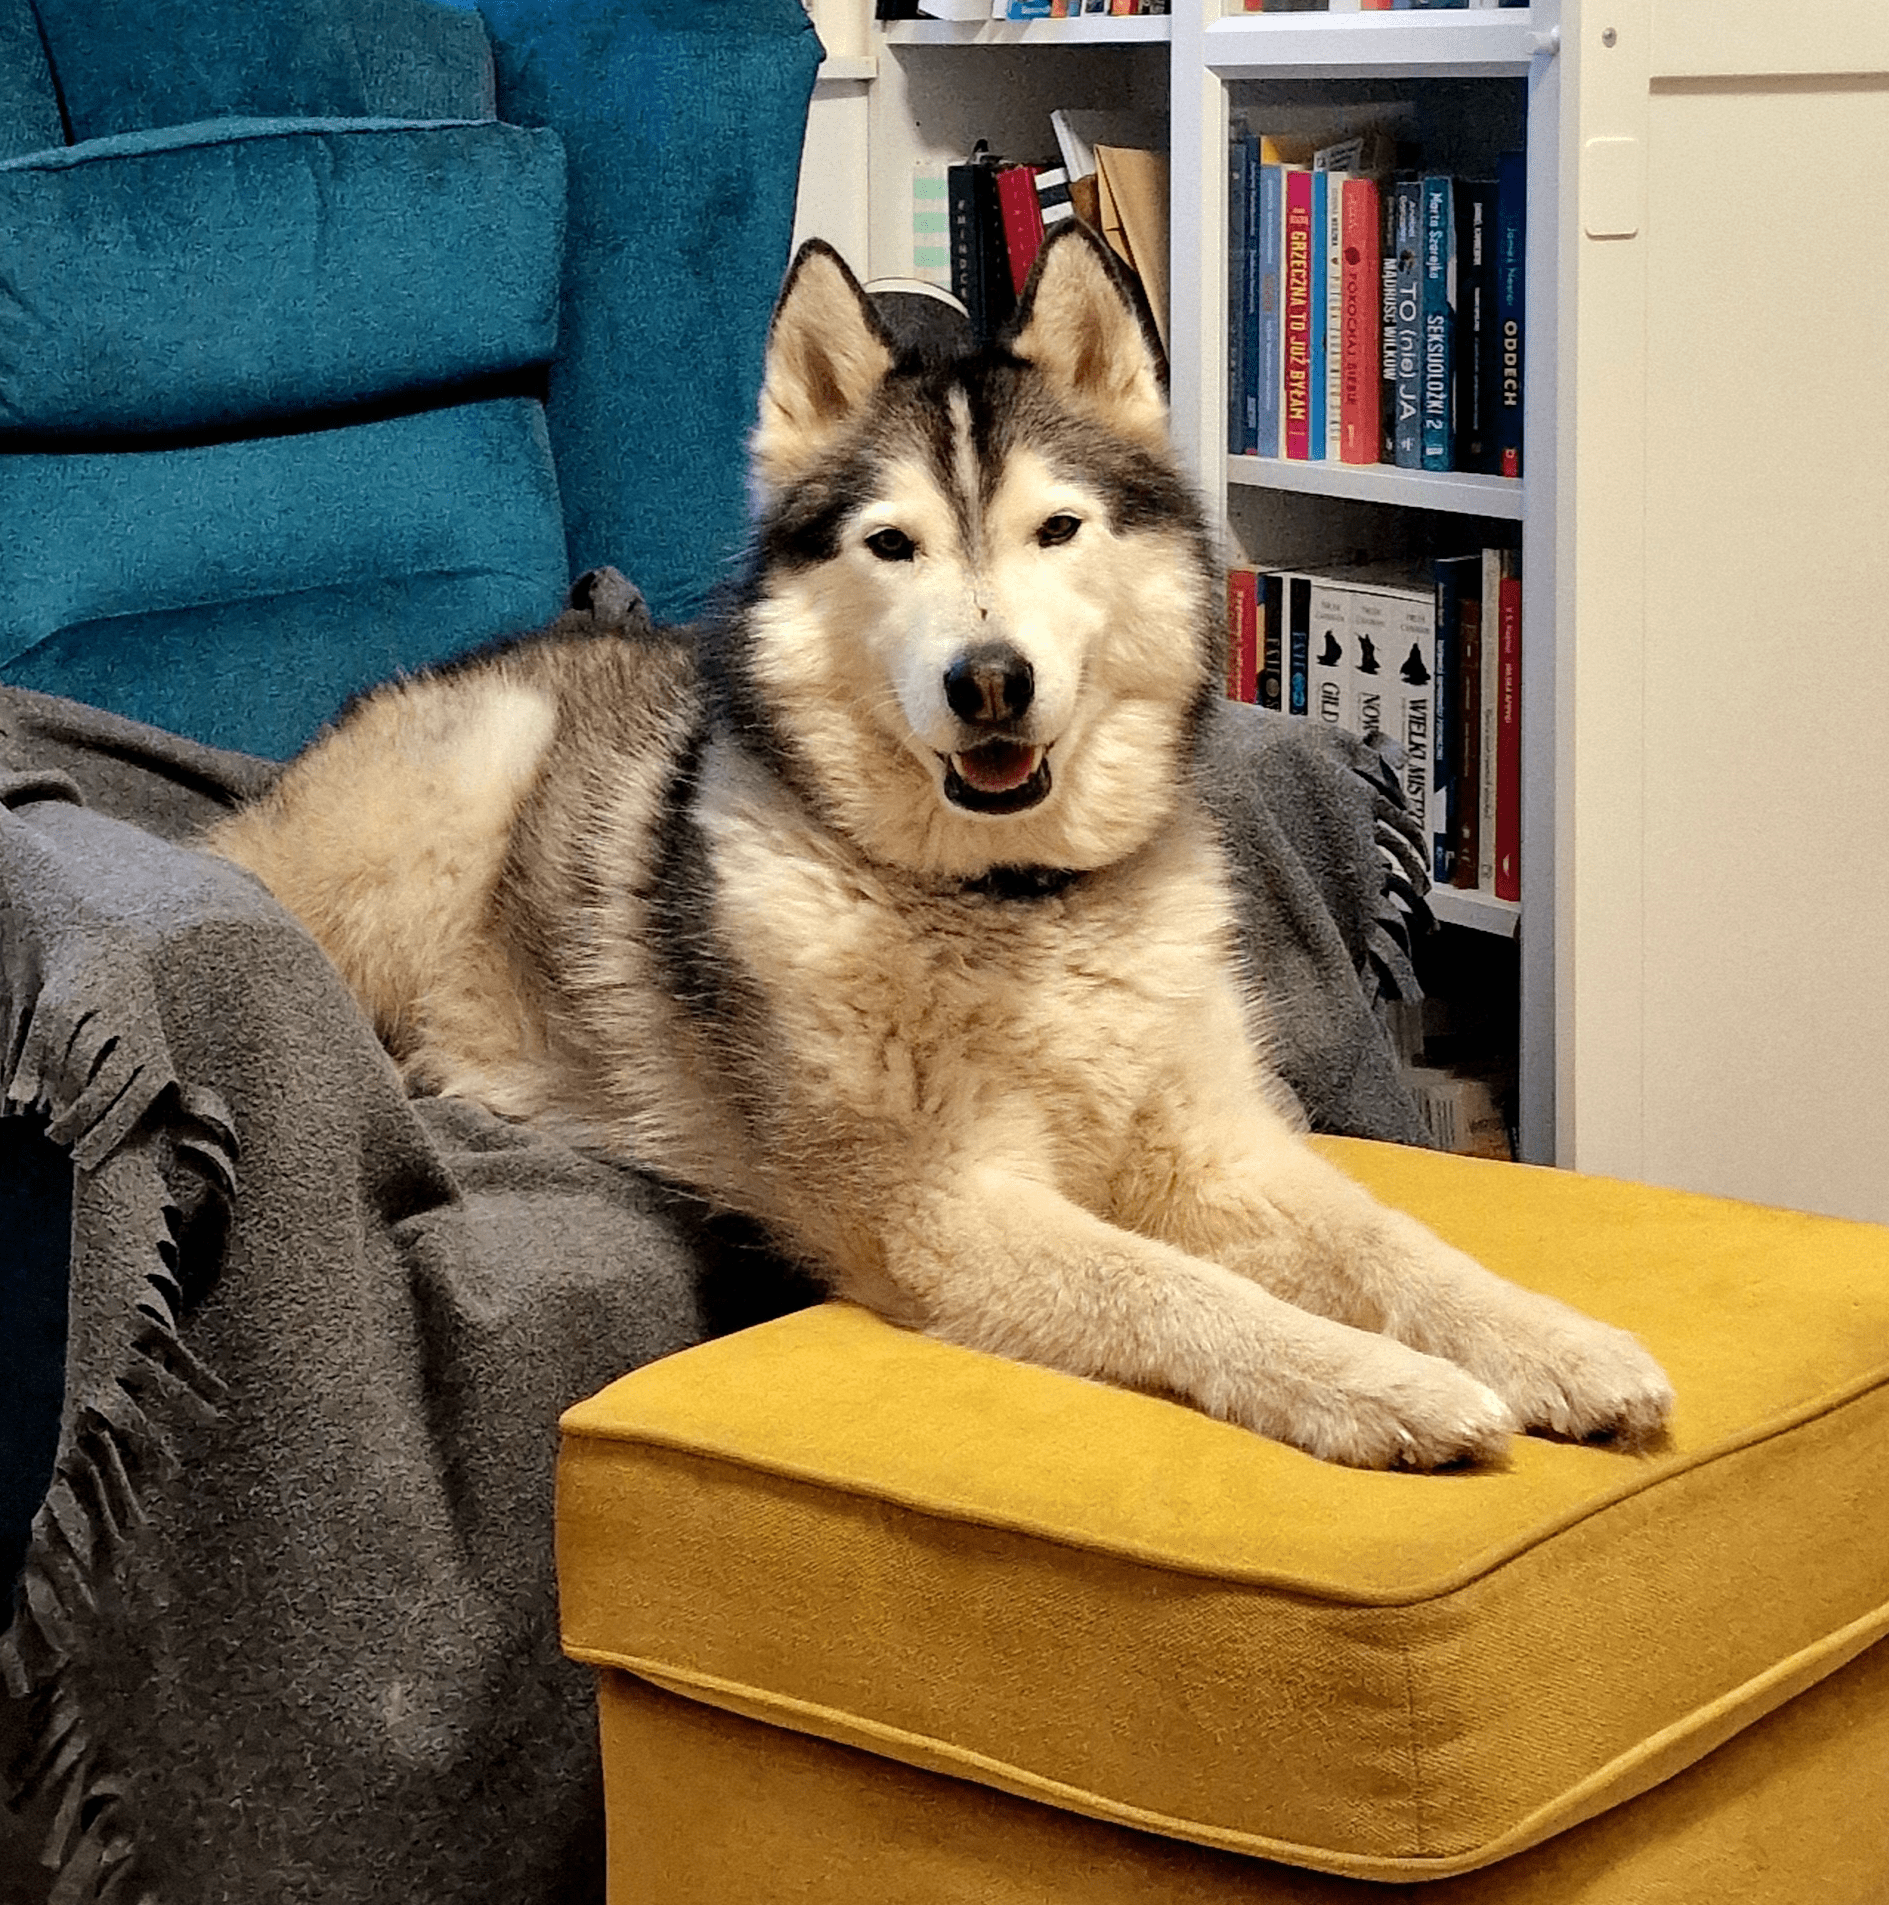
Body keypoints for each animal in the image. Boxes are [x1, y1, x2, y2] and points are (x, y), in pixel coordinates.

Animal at [208, 225, 1673, 1468]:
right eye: (891, 544)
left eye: (1057, 528)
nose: (989, 681)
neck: (1016, 909)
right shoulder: (947, 1210)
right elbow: (1179, 1286)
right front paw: (1383, 1384)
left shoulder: (1219, 1149)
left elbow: (1399, 1243)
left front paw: (1552, 1342)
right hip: (478, 762)